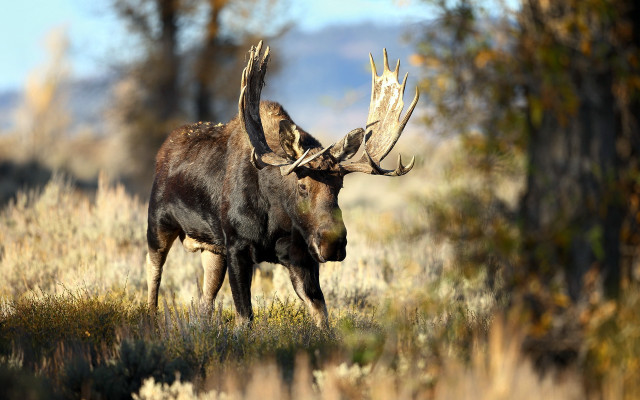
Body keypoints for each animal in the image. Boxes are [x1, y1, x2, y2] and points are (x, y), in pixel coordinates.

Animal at [145, 42, 418, 327]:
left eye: (340, 187)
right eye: (302, 186)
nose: (333, 242)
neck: (274, 217)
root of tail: (164, 148)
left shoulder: (300, 255)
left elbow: (321, 314)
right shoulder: (237, 246)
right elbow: (244, 316)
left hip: (211, 247)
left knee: (206, 297)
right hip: (158, 223)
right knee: (153, 273)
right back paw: (149, 317)